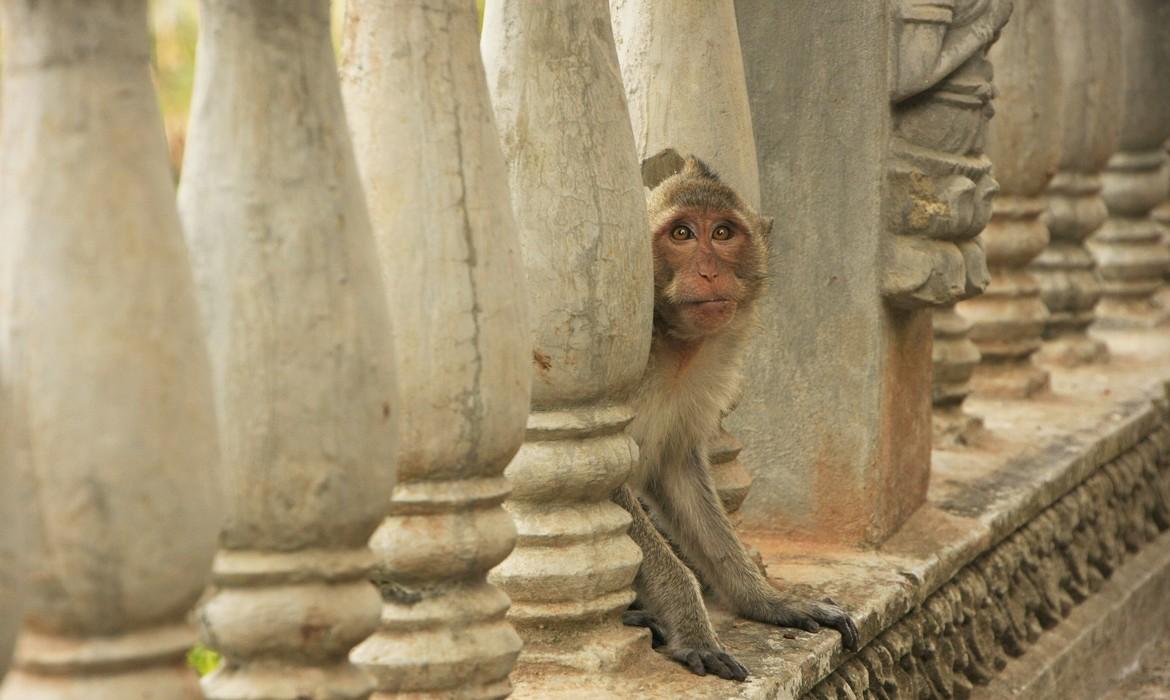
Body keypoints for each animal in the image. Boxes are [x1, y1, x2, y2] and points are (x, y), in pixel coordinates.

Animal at [613, 152, 861, 678]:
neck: (673, 345)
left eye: (723, 233)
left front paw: (766, 600)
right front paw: (692, 627)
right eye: (682, 234)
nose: (709, 272)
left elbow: (679, 474)